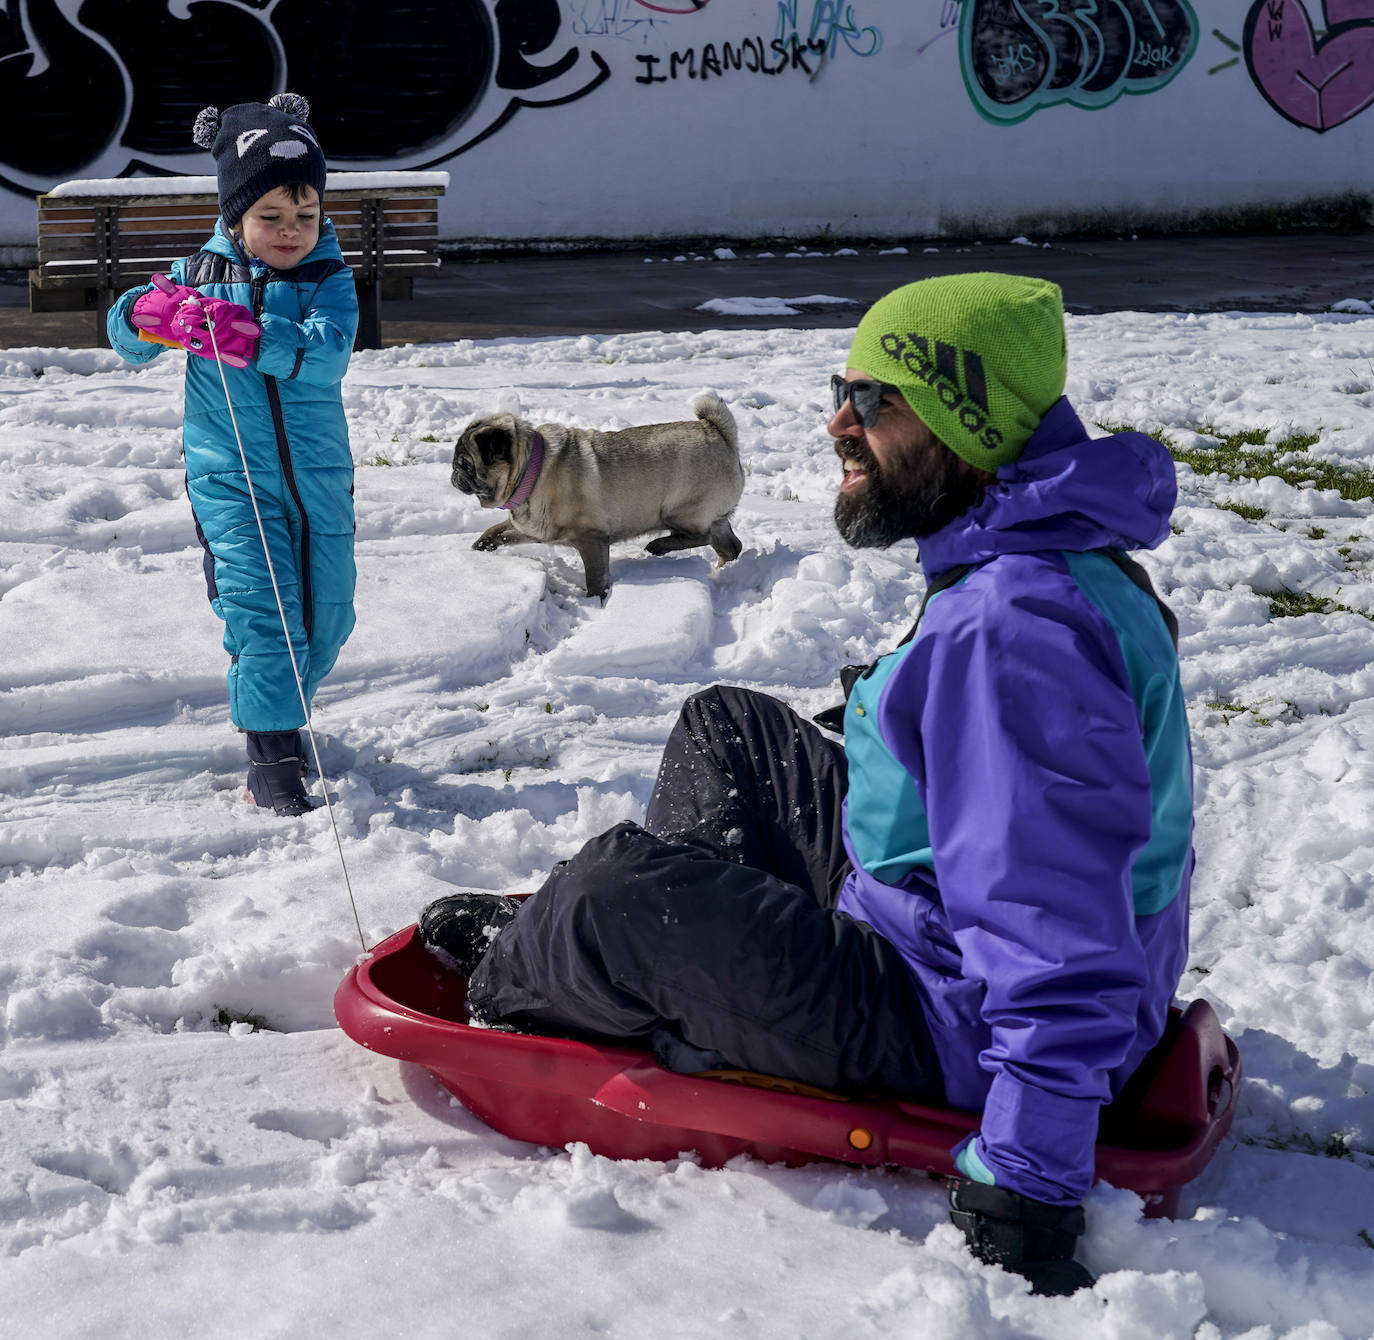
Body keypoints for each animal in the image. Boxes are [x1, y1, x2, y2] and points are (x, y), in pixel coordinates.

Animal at [453, 387, 747, 596]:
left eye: (466, 464)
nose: (454, 475)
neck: (533, 470)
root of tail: (718, 433)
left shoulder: (590, 539)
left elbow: (595, 578)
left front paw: (596, 601)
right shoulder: (535, 530)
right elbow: (496, 531)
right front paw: (480, 547)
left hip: (679, 512)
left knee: (700, 536)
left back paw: (659, 546)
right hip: (715, 519)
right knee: (730, 546)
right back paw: (725, 568)